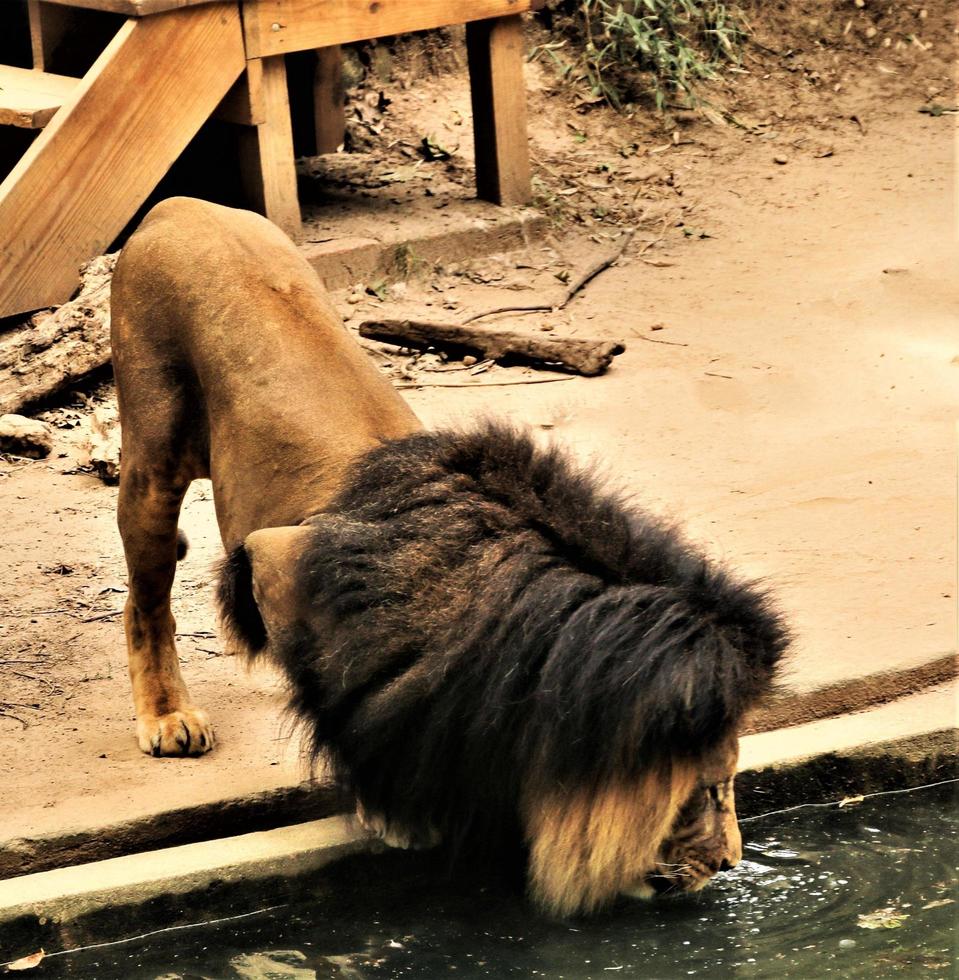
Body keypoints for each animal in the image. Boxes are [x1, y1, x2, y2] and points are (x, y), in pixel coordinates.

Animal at [110, 197, 788, 920]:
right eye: (707, 790)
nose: (728, 862)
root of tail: (180, 205)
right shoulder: (277, 559)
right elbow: (339, 703)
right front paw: (392, 810)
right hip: (153, 452)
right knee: (146, 600)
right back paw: (168, 715)